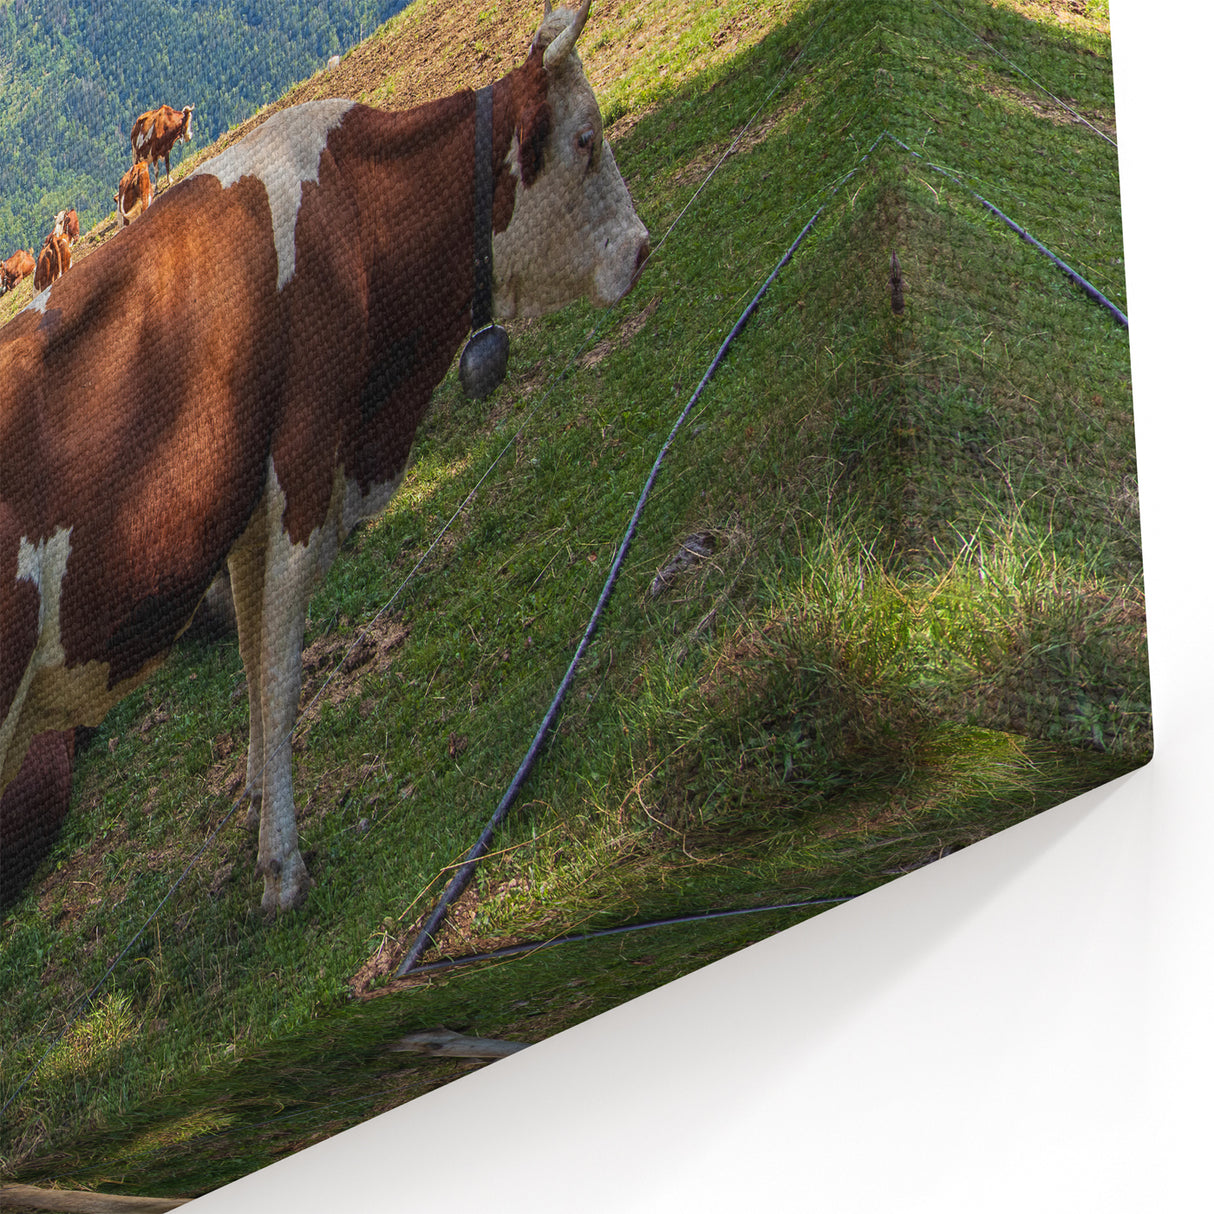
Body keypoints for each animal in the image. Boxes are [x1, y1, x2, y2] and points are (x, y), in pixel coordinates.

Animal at [0, 1, 649, 916]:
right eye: (586, 138)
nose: (641, 247)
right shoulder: (308, 469)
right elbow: (282, 676)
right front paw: (283, 867)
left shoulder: (246, 506)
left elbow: (252, 658)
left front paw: (255, 799)